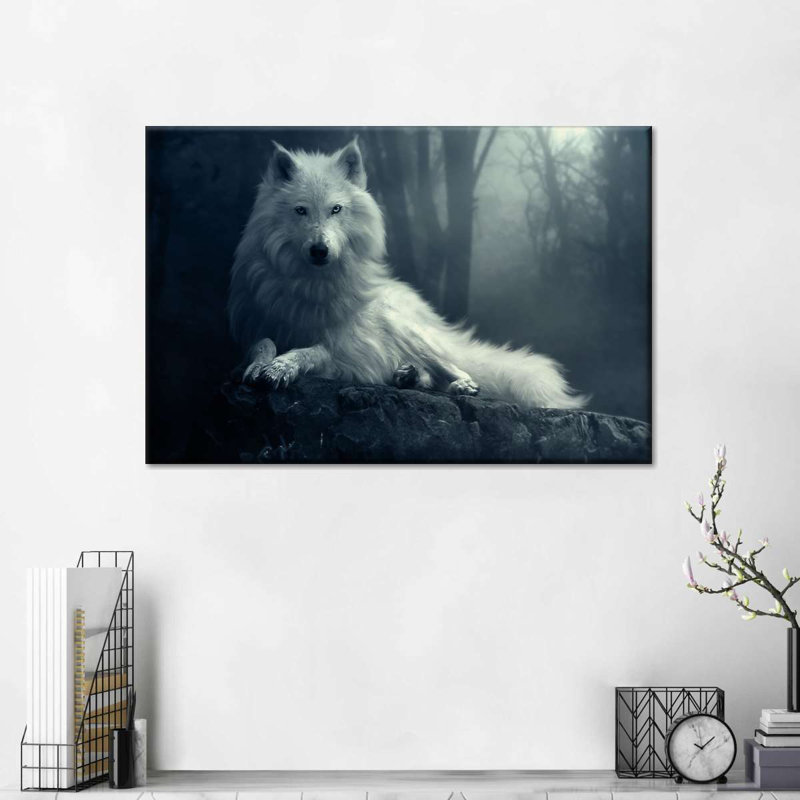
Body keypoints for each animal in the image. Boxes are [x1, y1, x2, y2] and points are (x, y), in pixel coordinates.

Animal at [228, 138, 586, 409]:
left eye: (336, 210)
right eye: (301, 210)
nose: (319, 250)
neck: (311, 285)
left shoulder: (343, 347)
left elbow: (310, 351)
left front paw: (281, 367)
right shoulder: (255, 326)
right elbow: (262, 344)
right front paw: (260, 365)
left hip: (409, 332)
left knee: (456, 368)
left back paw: (459, 385)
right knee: (424, 374)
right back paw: (407, 375)